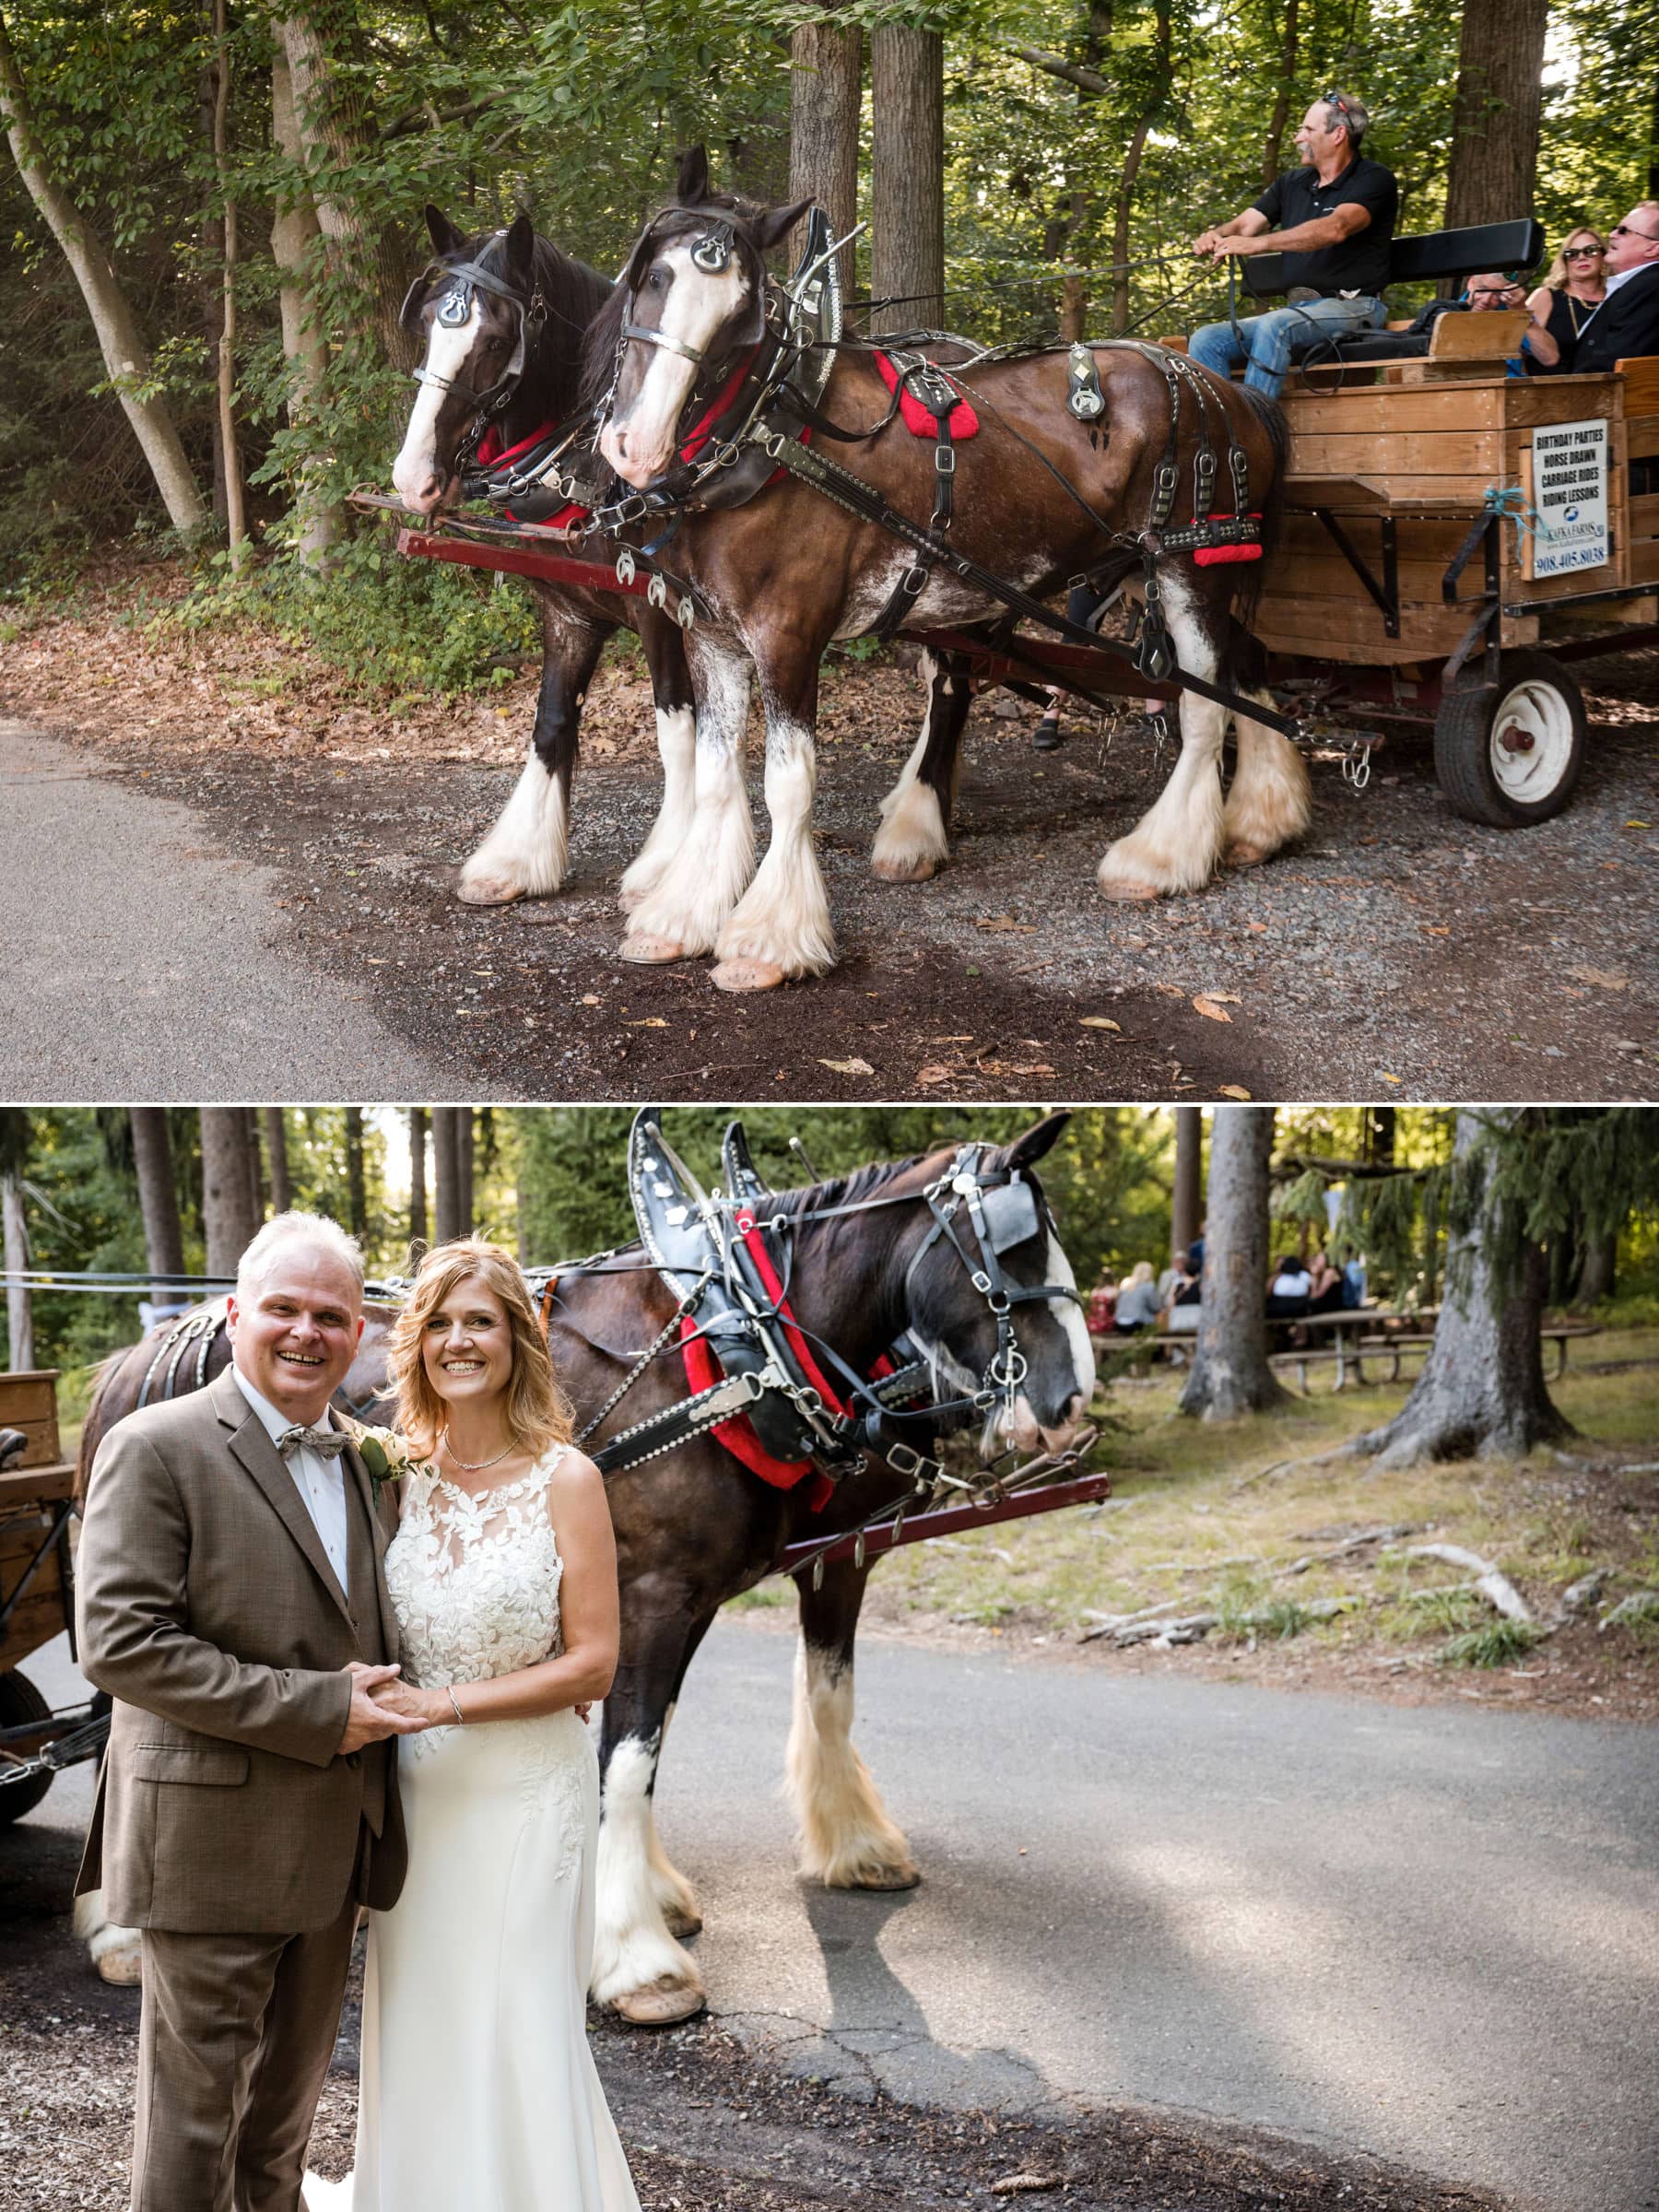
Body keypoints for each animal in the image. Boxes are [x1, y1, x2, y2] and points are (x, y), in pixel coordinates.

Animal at [75, 1124, 1106, 2026]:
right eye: (1008, 1254)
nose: (1069, 1408)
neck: (734, 1345)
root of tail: (142, 1350)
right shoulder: (662, 1594)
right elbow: (633, 1753)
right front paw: (638, 1956)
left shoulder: (708, 1590)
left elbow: (676, 1735)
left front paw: (673, 1889)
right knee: (137, 1725)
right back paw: (121, 1929)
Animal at [389, 201, 703, 907]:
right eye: (428, 323)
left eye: (496, 340)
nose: (413, 478)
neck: (591, 470)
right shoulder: (567, 613)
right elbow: (552, 719)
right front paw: (518, 858)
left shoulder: (662, 611)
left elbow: (676, 726)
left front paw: (665, 866)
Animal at [593, 149, 1318, 995]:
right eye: (651, 276)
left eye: (744, 315)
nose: (635, 445)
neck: (770, 438)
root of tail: (1229, 390)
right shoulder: (709, 634)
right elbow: (715, 777)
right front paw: (683, 915)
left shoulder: (790, 633)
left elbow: (788, 782)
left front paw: (769, 937)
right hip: (1152, 568)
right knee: (1244, 665)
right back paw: (1262, 822)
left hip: (1190, 564)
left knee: (1203, 701)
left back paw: (1162, 856)